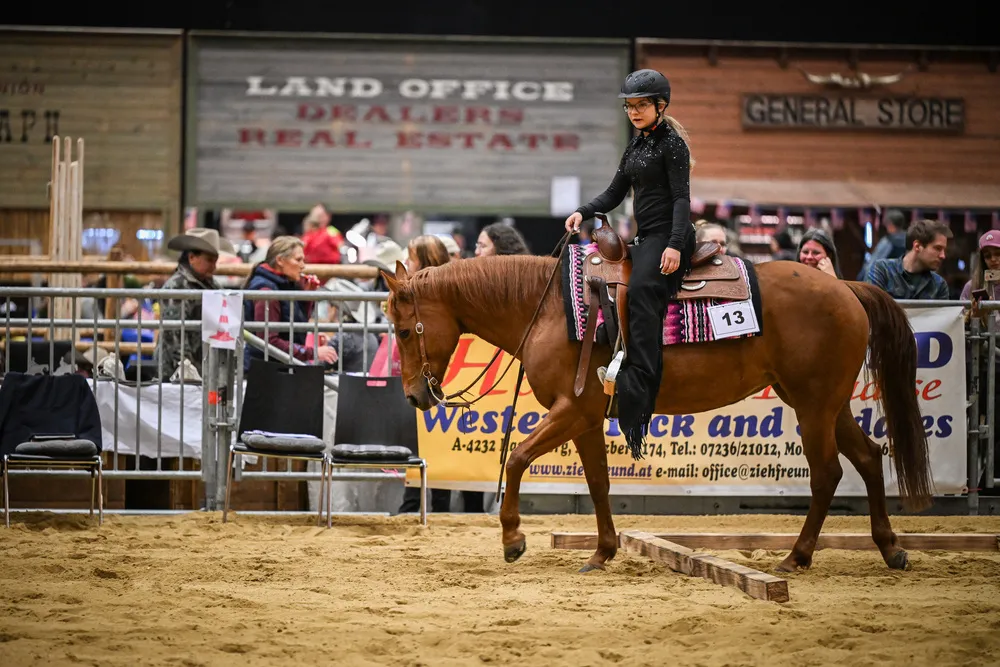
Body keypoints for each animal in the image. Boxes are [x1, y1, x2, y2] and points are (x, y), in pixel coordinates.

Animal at [379, 253, 934, 573]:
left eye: (404, 330)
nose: (414, 397)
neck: (553, 308)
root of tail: (846, 288)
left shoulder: (570, 409)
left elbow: (516, 460)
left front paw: (513, 538)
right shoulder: (585, 418)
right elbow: (598, 483)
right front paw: (602, 551)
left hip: (815, 406)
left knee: (827, 474)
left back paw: (797, 556)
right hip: (822, 403)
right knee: (868, 457)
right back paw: (890, 548)